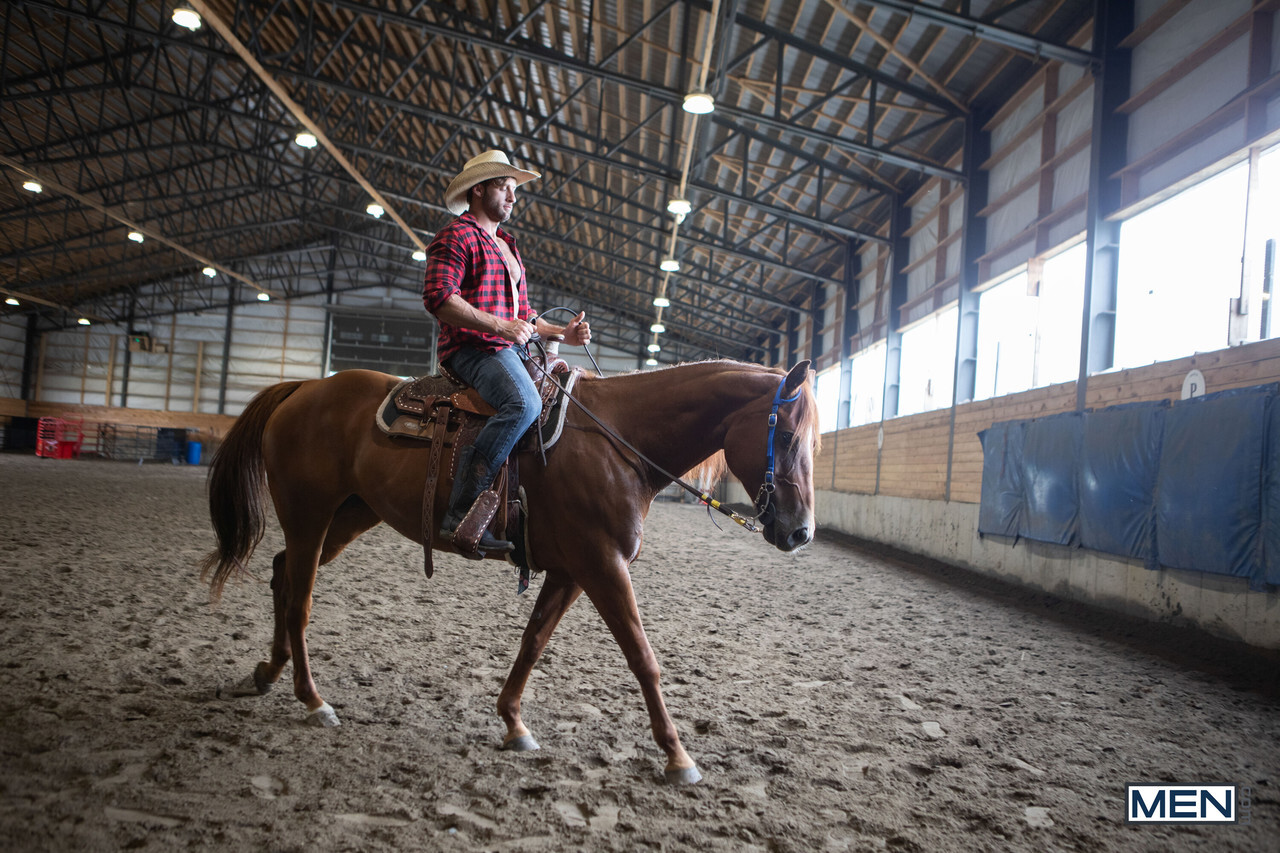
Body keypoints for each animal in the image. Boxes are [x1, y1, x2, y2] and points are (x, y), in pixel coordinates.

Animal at [203, 356, 814, 778]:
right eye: (785, 436)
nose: (801, 532)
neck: (617, 442)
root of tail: (304, 388)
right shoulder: (603, 566)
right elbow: (644, 659)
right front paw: (678, 756)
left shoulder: (572, 571)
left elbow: (533, 640)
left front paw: (514, 723)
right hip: (309, 513)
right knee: (300, 598)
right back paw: (312, 700)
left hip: (351, 515)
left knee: (282, 572)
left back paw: (268, 672)